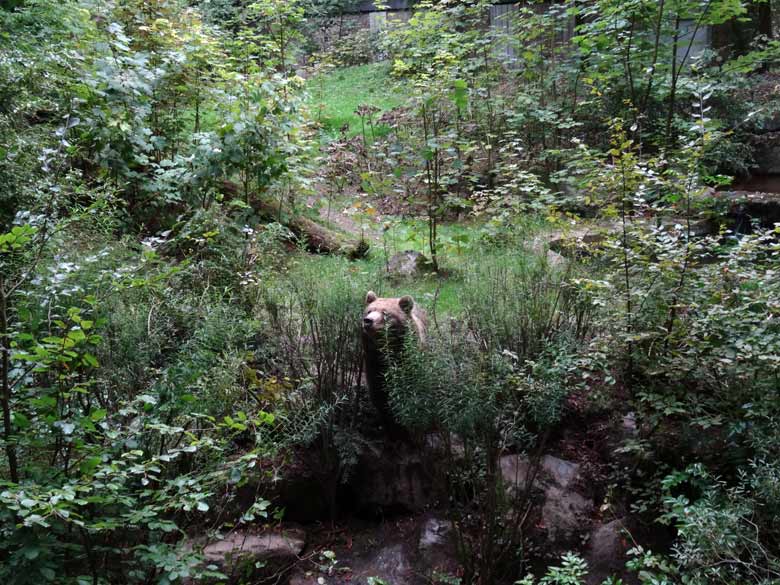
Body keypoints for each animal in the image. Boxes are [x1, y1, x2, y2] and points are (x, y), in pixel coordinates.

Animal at [362, 290, 426, 426]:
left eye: (385, 313)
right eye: (369, 311)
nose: (368, 321)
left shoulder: (408, 362)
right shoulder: (373, 363)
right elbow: (379, 394)